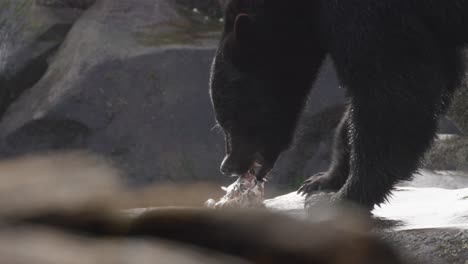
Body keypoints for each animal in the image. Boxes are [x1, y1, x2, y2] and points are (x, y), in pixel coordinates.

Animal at [210, 0, 468, 209]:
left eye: (228, 120)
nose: (227, 166)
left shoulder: (366, 11)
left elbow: (394, 89)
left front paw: (346, 197)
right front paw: (322, 180)